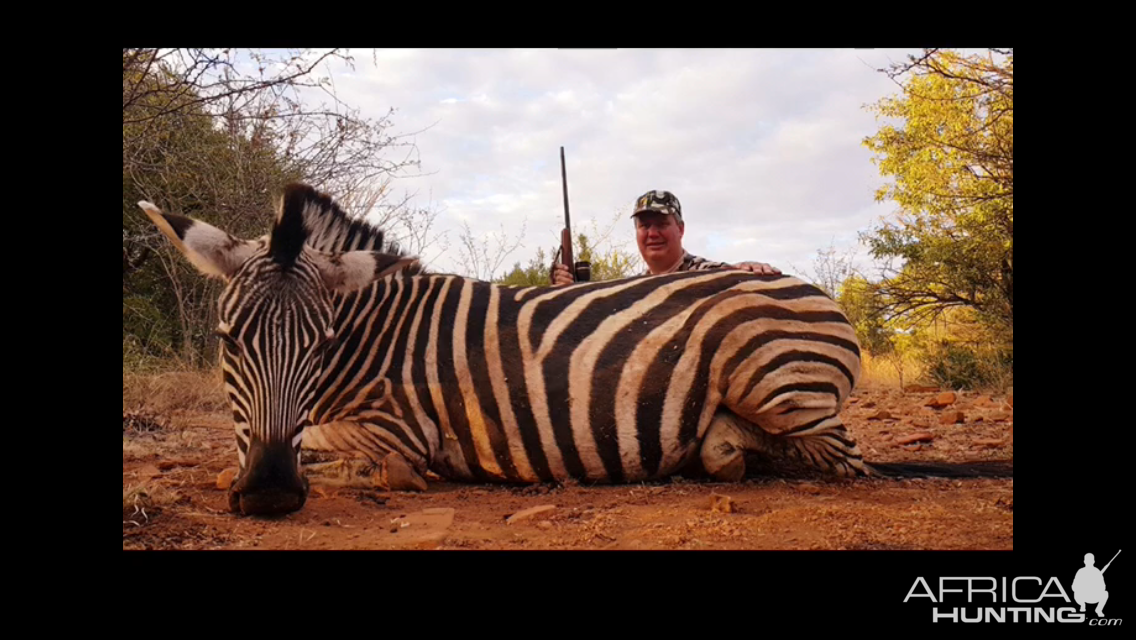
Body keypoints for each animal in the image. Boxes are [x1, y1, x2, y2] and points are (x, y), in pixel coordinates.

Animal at [137, 184, 872, 516]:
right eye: (229, 341)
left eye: (321, 345)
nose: (267, 495)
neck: (372, 335)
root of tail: (813, 291)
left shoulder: (400, 427)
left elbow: (323, 446)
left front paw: (380, 475)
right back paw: (715, 452)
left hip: (777, 387)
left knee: (843, 459)